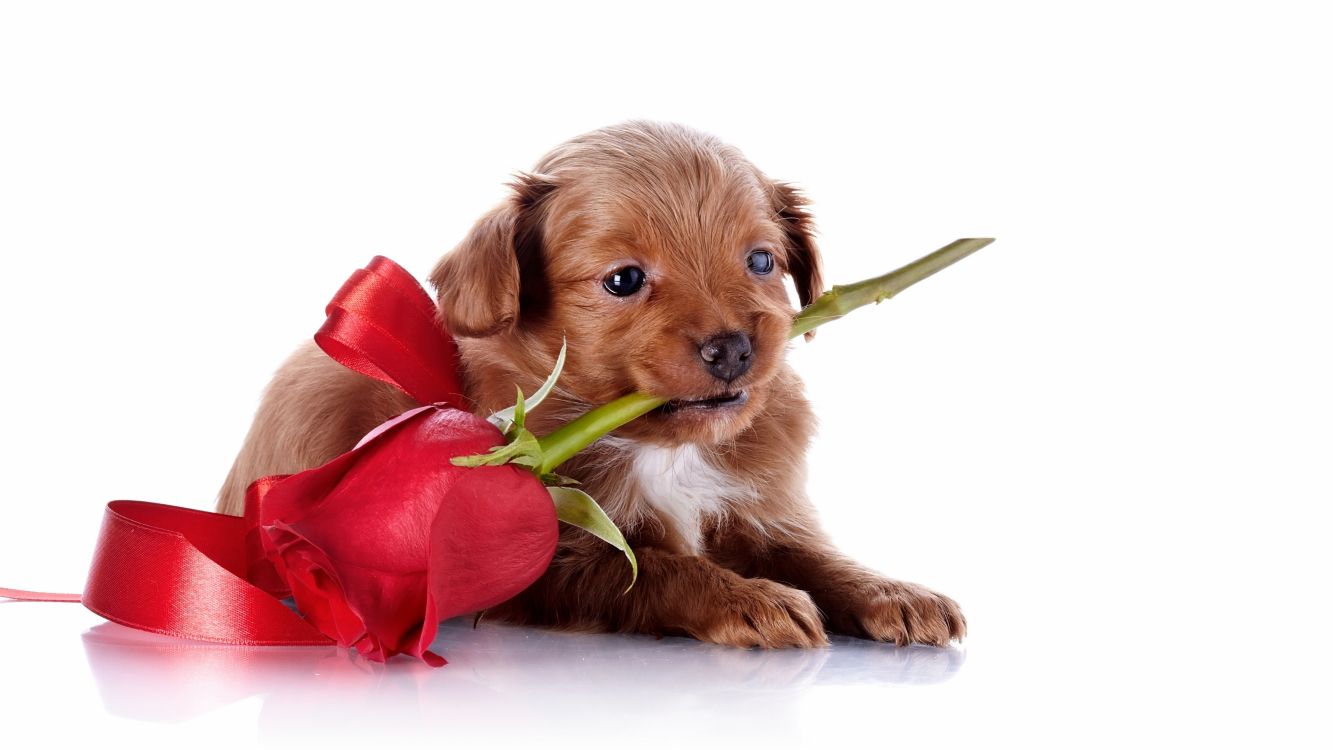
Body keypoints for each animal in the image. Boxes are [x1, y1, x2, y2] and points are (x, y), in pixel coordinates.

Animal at [221, 120, 970, 647]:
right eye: (624, 279)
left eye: (760, 261)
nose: (732, 348)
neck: (664, 446)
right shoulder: (545, 556)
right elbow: (655, 567)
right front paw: (749, 598)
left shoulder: (758, 509)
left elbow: (814, 556)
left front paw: (892, 592)